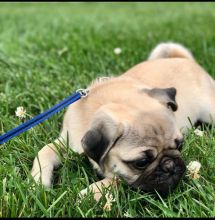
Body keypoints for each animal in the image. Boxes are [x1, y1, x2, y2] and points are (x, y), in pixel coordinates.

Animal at [31, 42, 215, 200]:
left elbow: (117, 179)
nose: (170, 166)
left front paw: (91, 193)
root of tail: (183, 59)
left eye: (180, 146)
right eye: (141, 163)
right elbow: (44, 151)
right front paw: (38, 182)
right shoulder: (66, 141)